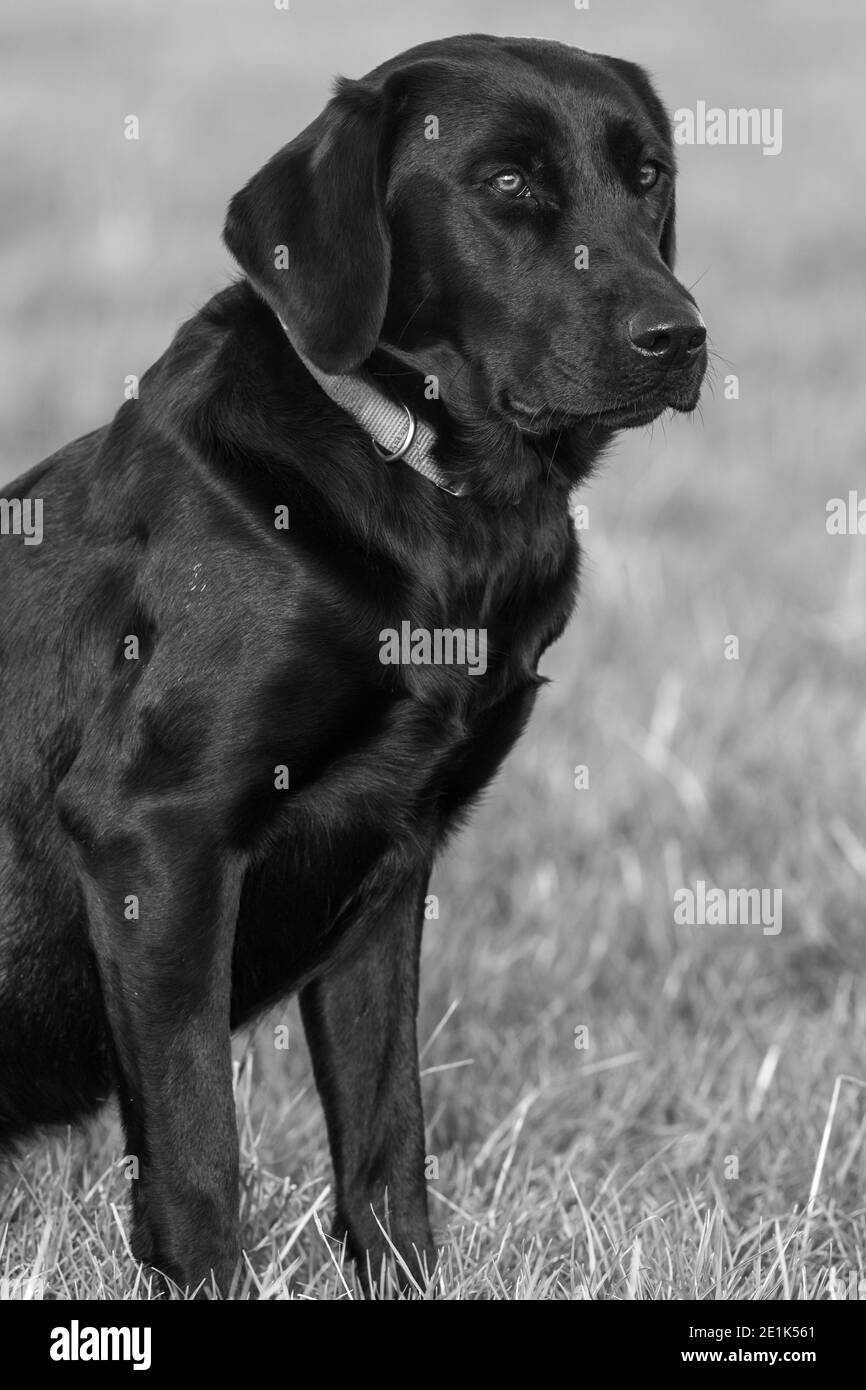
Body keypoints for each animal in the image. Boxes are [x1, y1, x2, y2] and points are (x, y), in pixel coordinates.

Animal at [0, 32, 706, 1289]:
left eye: (647, 177)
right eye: (506, 183)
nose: (678, 337)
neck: (436, 497)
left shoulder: (389, 860)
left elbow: (387, 1146)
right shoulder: (154, 834)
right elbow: (198, 1156)